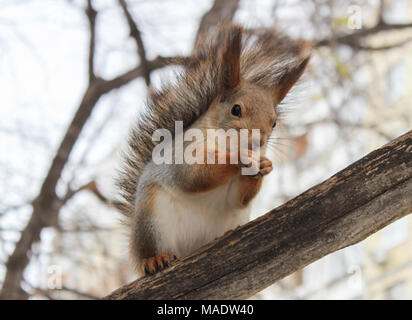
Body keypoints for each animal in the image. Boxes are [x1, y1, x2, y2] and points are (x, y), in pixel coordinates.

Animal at [115, 23, 308, 276]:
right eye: (236, 109)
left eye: (274, 122)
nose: (257, 141)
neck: (226, 144)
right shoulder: (183, 152)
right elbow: (194, 176)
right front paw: (238, 159)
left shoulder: (238, 195)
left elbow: (238, 198)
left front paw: (264, 166)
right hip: (152, 220)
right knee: (153, 249)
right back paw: (154, 259)